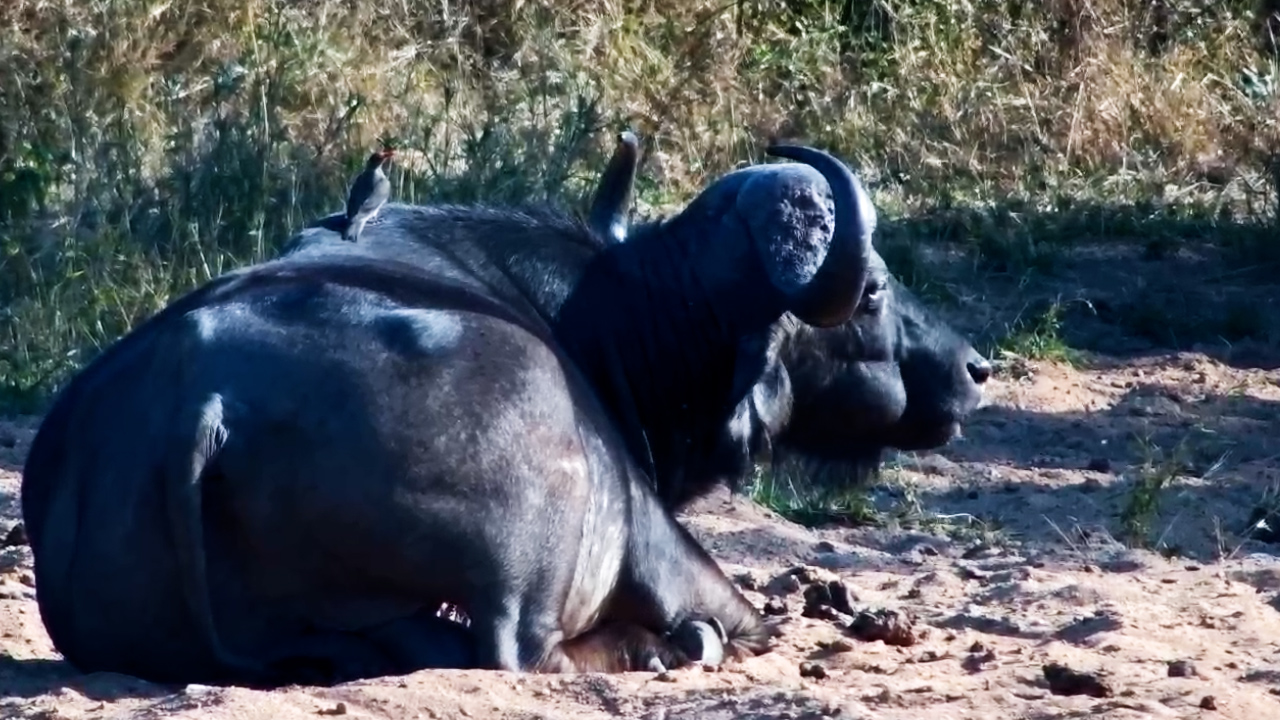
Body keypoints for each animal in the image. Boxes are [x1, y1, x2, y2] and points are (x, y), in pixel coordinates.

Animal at [22, 143, 885, 687]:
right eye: (875, 291)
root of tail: (203, 400)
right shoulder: (654, 535)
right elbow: (734, 611)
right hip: (532, 553)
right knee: (518, 648)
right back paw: (657, 648)